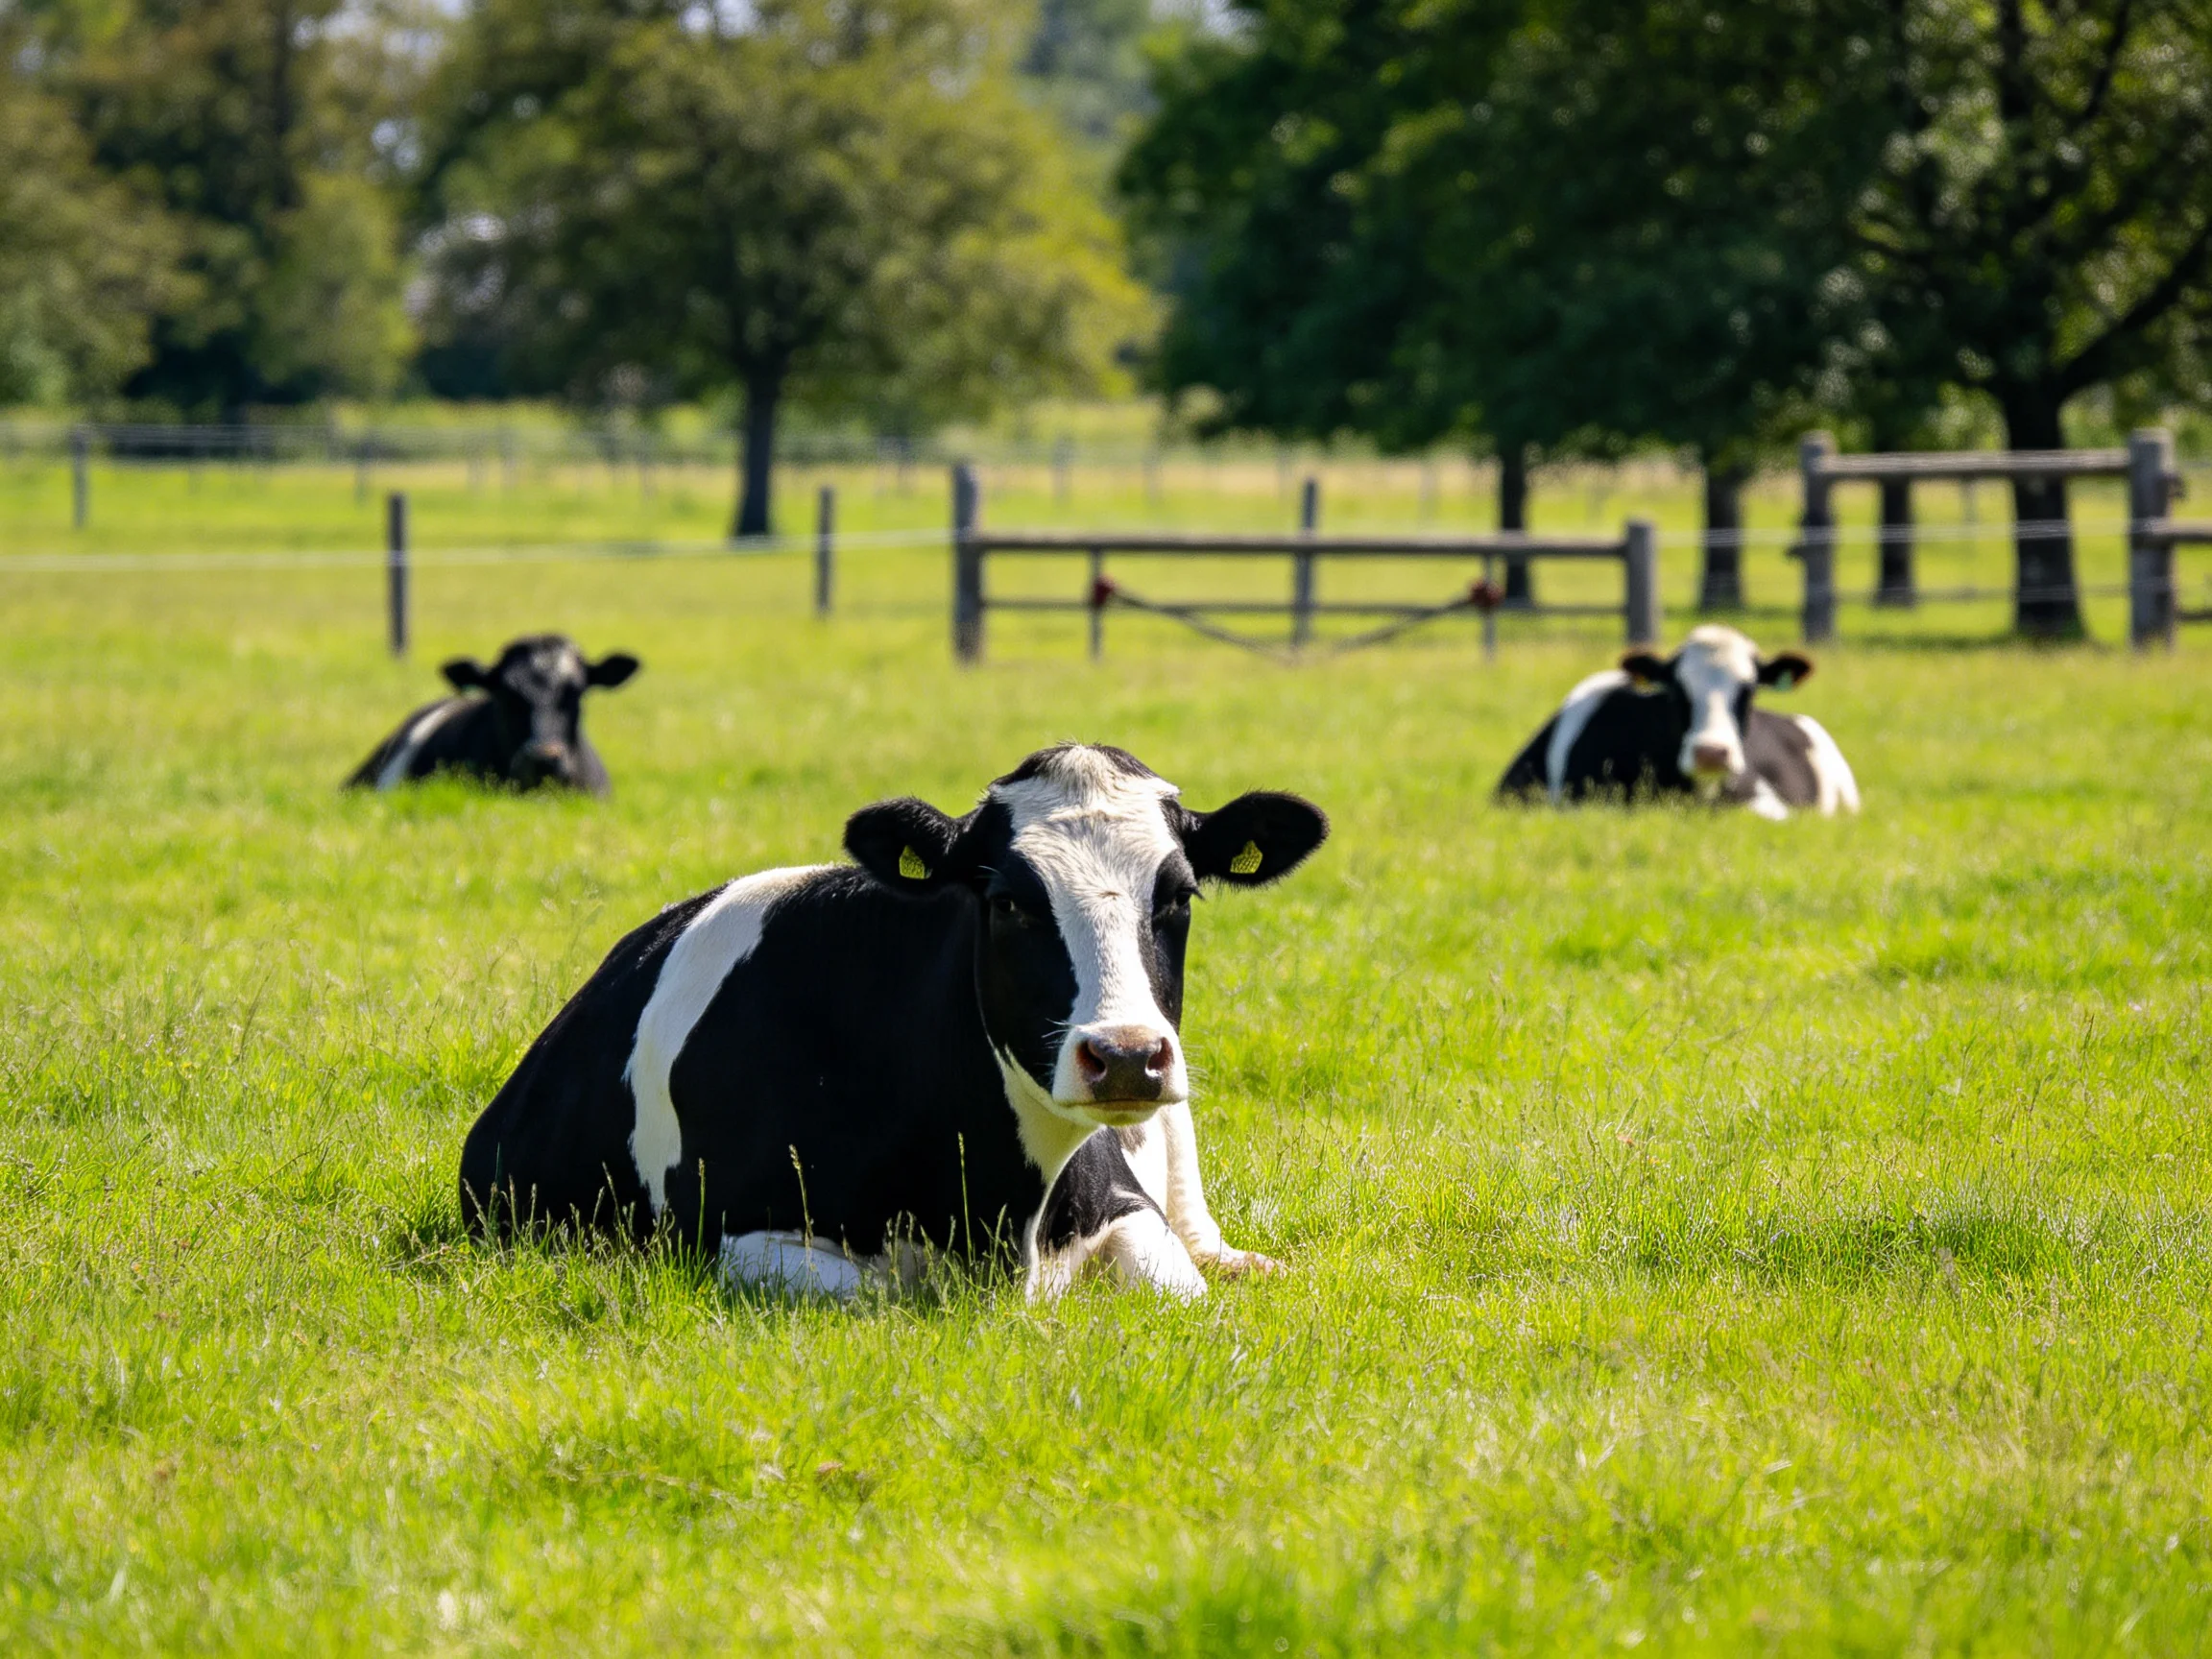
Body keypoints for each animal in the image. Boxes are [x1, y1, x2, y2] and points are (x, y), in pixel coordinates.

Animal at [456, 744, 1330, 1300]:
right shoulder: (733, 1236)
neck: (994, 1214)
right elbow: (883, 1298)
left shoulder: (1128, 1207)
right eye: (1007, 901)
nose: (1123, 1055)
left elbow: (1180, 1288)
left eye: (1180, 895)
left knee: (1202, 1232)